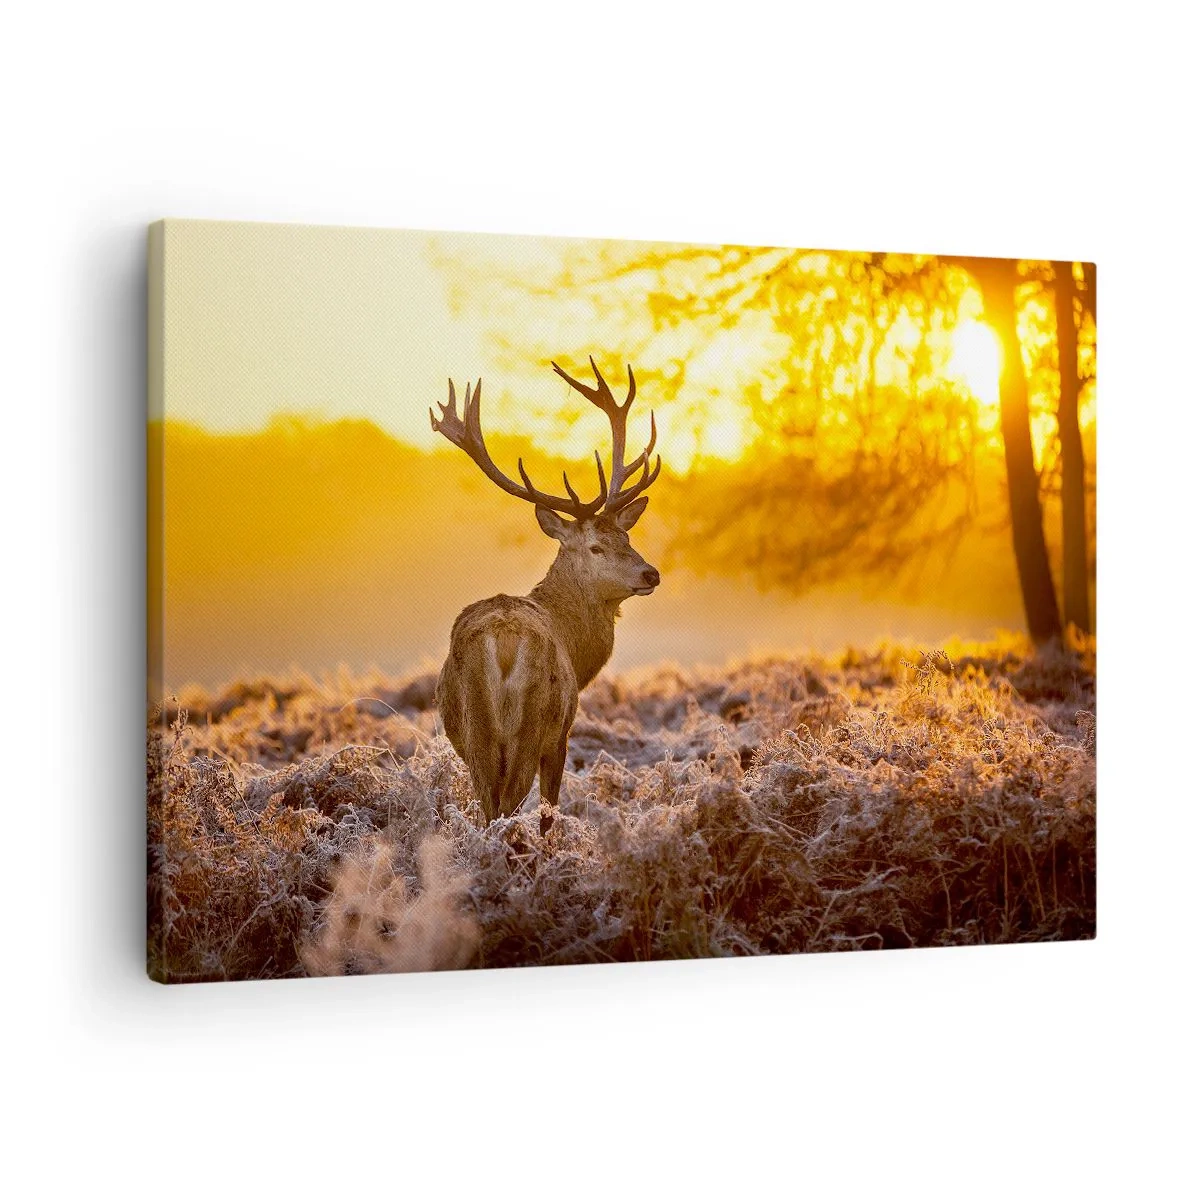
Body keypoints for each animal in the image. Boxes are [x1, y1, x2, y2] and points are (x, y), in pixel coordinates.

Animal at [430, 357, 661, 836]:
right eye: (595, 546)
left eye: (626, 536)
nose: (651, 572)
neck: (576, 647)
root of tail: (502, 641)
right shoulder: (562, 734)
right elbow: (550, 810)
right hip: (532, 723)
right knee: (509, 806)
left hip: (475, 731)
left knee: (489, 808)